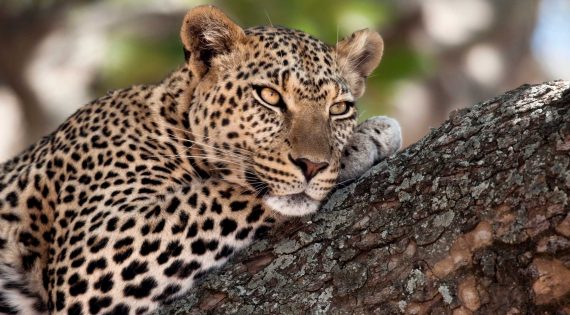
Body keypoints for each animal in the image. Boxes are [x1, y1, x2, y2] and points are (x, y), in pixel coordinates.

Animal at [0, 5, 400, 315]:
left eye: (339, 109)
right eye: (269, 96)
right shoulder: (97, 251)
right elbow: (219, 193)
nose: (313, 165)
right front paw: (365, 141)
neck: (172, 119)